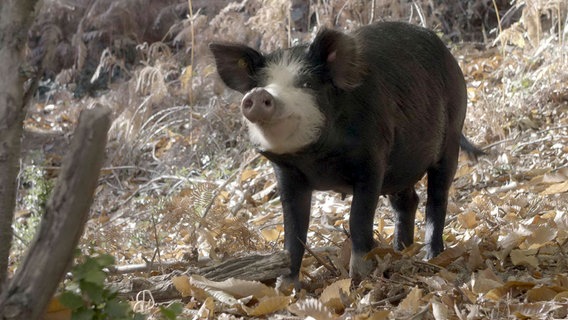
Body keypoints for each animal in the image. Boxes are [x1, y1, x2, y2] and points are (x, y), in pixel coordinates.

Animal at [210, 21, 484, 288]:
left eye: (307, 83)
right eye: (260, 85)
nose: (258, 95)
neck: (314, 159)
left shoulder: (373, 160)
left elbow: (358, 220)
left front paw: (358, 279)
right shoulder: (288, 174)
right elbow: (293, 232)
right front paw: (286, 288)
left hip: (451, 135)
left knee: (437, 198)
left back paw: (432, 257)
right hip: (401, 166)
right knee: (407, 201)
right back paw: (400, 253)